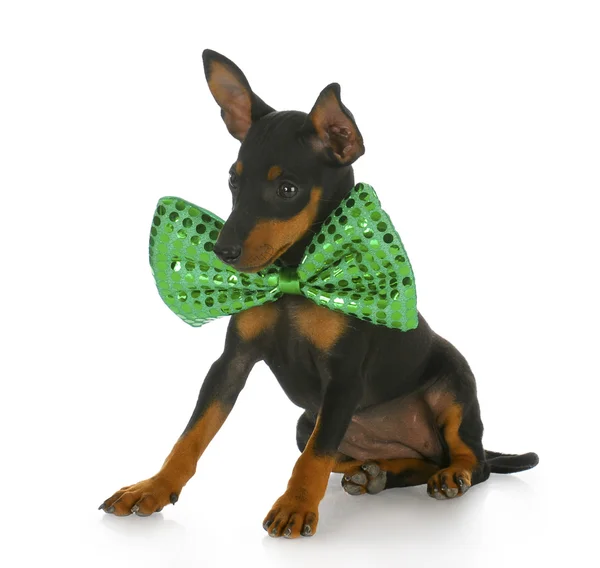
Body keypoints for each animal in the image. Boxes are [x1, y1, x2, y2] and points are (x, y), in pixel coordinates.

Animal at [99, 48, 540, 536]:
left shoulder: (344, 377)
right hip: (304, 421)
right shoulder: (232, 363)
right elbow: (192, 434)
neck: (294, 278)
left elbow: (315, 454)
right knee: (378, 459)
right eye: (233, 181)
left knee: (472, 460)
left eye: (287, 188)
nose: (223, 252)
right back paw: (373, 473)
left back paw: (450, 476)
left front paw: (295, 506)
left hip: (455, 386)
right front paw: (154, 487)